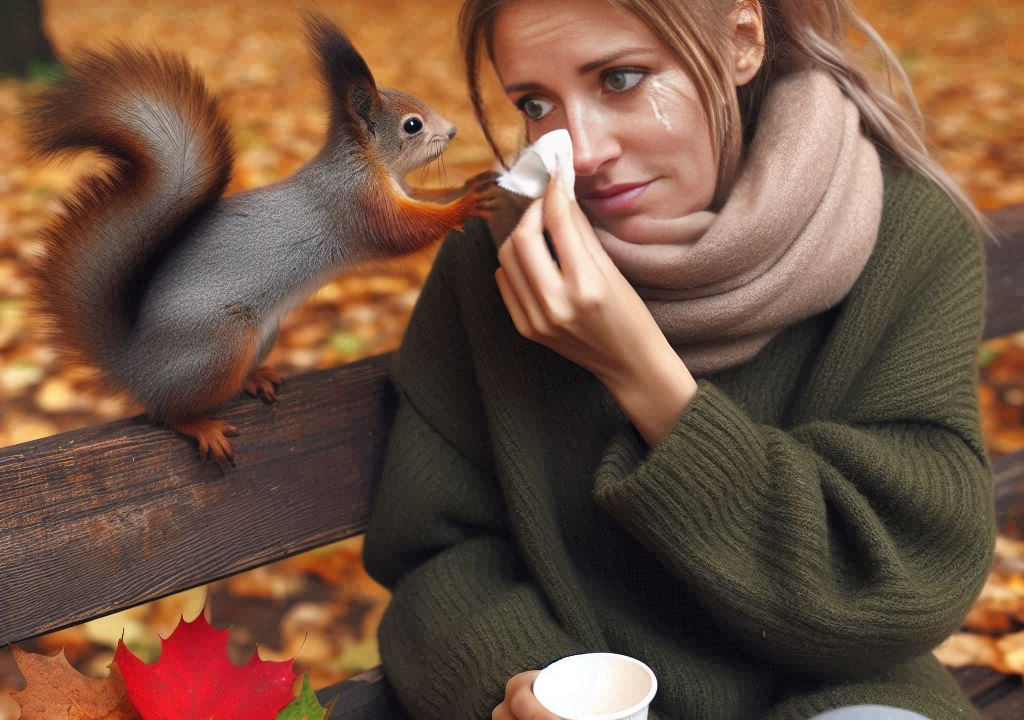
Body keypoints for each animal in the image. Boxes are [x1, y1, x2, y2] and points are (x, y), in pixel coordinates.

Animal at [19, 14, 499, 471]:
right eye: (412, 125)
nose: (453, 132)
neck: (368, 164)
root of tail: (134, 365)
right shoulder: (358, 206)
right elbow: (406, 231)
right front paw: (467, 205)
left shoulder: (399, 191)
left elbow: (429, 198)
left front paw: (470, 183)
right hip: (220, 344)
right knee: (167, 412)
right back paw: (200, 425)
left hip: (263, 334)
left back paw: (255, 379)